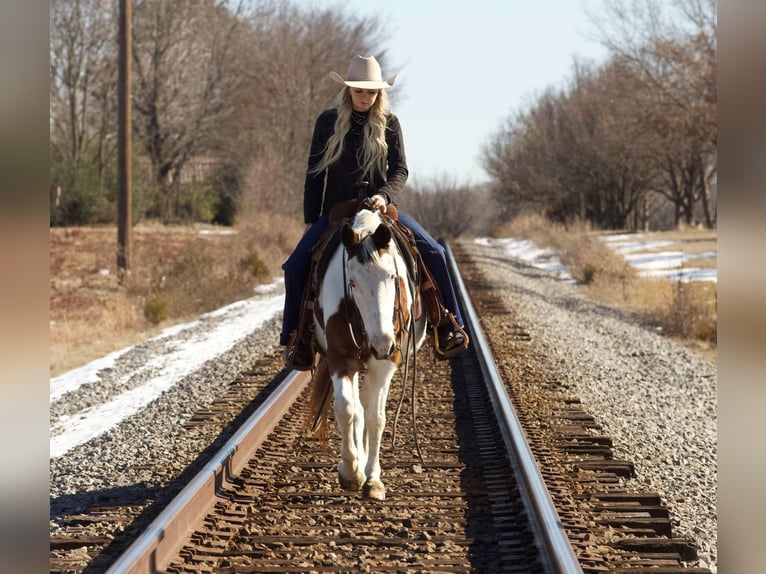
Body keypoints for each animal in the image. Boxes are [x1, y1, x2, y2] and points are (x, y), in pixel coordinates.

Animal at [308, 207, 428, 500]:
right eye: (352, 282)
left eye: (392, 277)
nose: (381, 343)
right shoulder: (340, 357)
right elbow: (347, 409)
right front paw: (351, 471)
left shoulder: (387, 362)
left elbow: (376, 417)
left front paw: (373, 479)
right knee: (357, 405)